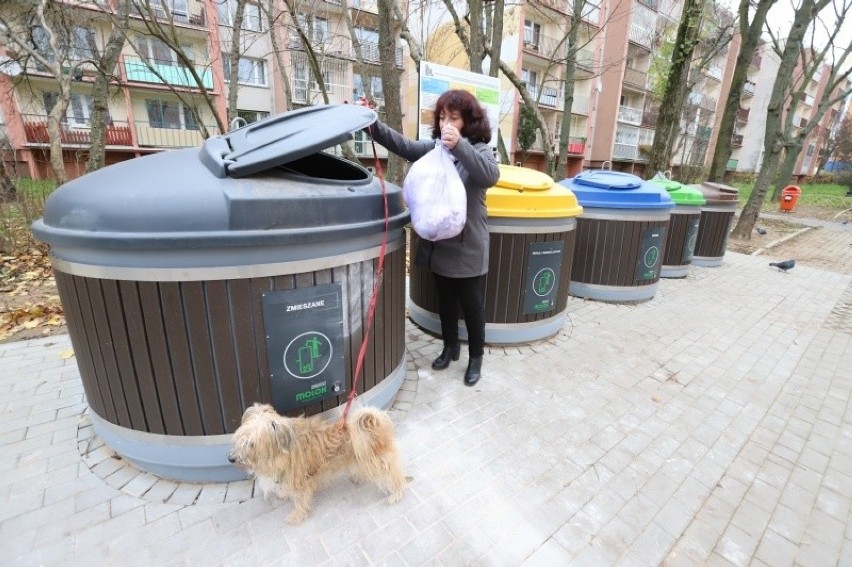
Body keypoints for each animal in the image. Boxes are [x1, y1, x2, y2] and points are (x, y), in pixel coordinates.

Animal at [228, 404, 408, 524]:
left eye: (251, 443)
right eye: (239, 438)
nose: (230, 459)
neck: (284, 448)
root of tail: (372, 423)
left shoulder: (300, 481)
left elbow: (300, 500)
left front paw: (297, 515)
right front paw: (285, 493)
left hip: (376, 460)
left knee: (394, 474)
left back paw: (396, 493)